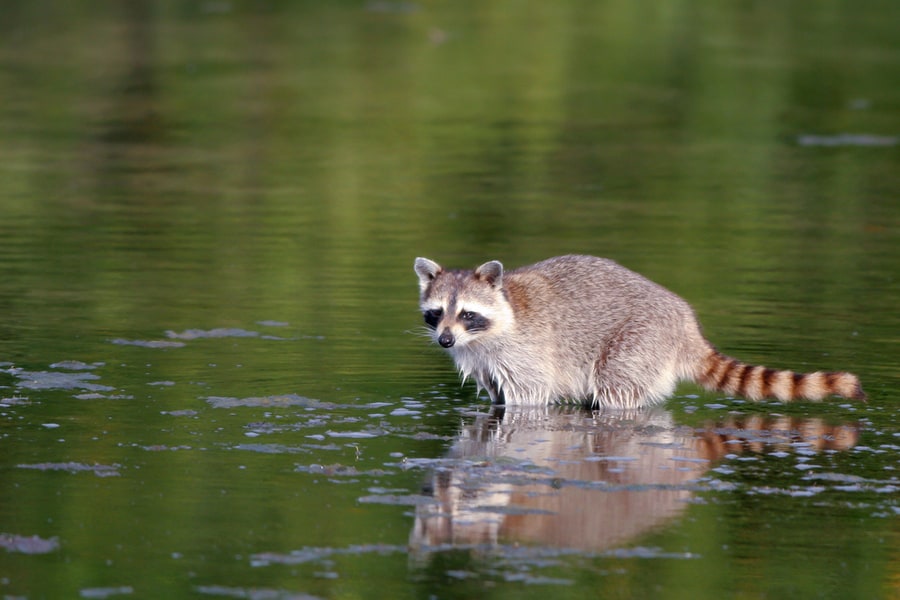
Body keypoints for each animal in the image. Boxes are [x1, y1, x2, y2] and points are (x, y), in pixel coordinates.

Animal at [414, 253, 864, 408]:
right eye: (437, 314)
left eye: (468, 314)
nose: (445, 340)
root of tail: (686, 326)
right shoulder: (482, 360)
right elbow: (494, 392)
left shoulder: (527, 350)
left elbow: (530, 396)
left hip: (639, 342)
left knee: (617, 390)